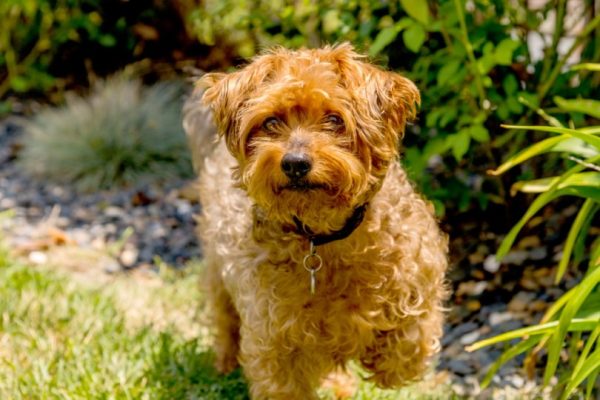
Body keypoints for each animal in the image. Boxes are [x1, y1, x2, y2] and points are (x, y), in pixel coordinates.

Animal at [185, 43, 448, 400]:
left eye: (334, 119)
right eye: (271, 122)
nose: (295, 163)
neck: (325, 238)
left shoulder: (420, 283)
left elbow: (409, 348)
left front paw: (381, 362)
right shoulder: (275, 340)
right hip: (217, 273)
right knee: (225, 322)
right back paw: (224, 365)